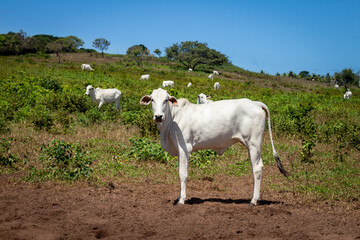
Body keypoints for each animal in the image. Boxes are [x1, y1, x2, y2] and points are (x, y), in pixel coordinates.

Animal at [139, 88, 288, 206]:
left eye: (166, 100)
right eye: (152, 99)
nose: (158, 116)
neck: (172, 120)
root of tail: (255, 103)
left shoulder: (185, 148)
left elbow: (182, 174)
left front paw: (181, 200)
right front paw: (179, 197)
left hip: (254, 144)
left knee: (257, 168)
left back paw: (253, 200)